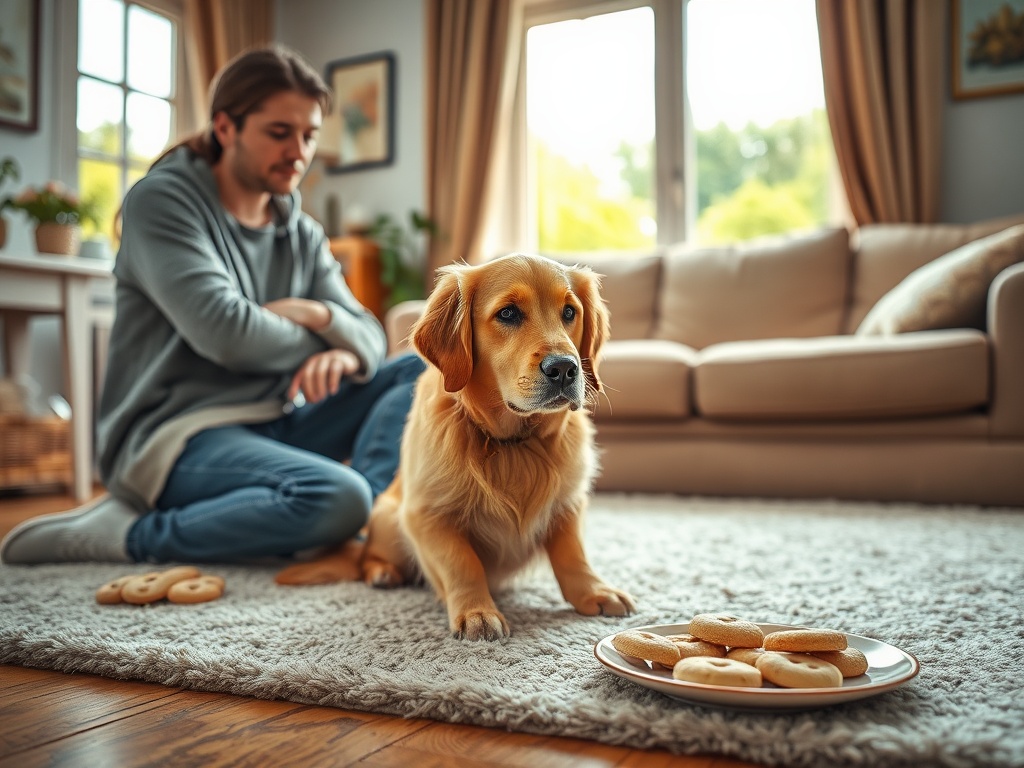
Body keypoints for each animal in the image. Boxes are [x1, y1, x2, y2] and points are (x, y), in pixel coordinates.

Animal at [276, 256, 634, 638]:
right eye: (508, 314)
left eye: (569, 312)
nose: (565, 369)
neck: (511, 442)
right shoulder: (426, 514)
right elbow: (462, 563)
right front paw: (476, 611)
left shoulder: (568, 502)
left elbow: (573, 554)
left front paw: (594, 592)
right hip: (387, 517)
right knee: (369, 559)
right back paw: (382, 572)